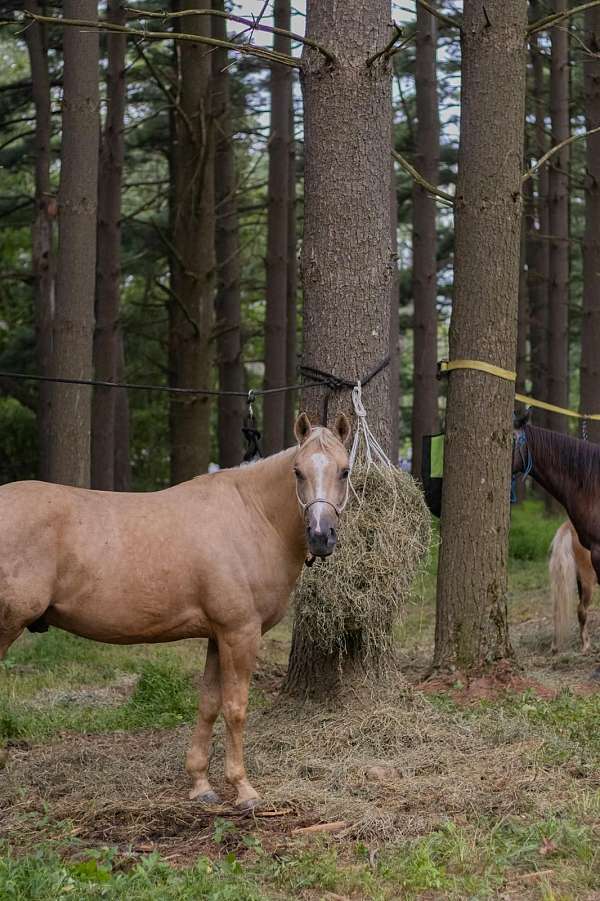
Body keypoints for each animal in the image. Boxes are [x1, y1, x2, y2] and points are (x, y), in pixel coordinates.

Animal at [0, 411, 351, 809]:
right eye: (297, 471)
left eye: (344, 471)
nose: (321, 536)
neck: (253, 516)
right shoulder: (240, 633)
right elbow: (235, 707)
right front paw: (243, 788)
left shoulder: (218, 635)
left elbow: (209, 704)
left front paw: (200, 783)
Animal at [549, 521, 597, 654]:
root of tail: (568, 526)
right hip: (587, 581)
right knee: (581, 610)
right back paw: (586, 645)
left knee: (557, 610)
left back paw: (555, 646)